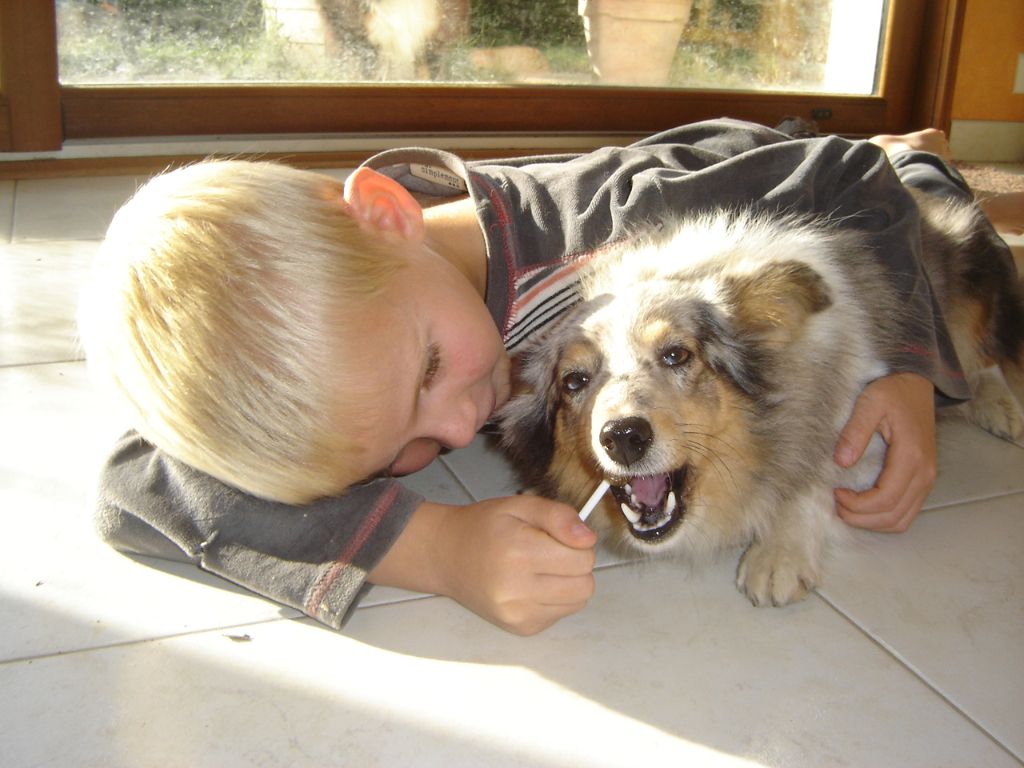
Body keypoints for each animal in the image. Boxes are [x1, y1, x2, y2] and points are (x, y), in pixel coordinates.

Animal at [495, 192, 1024, 606]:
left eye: (676, 354)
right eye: (574, 381)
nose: (623, 436)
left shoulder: (863, 412)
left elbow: (817, 473)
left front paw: (779, 553)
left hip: (968, 280)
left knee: (984, 356)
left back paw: (1000, 407)